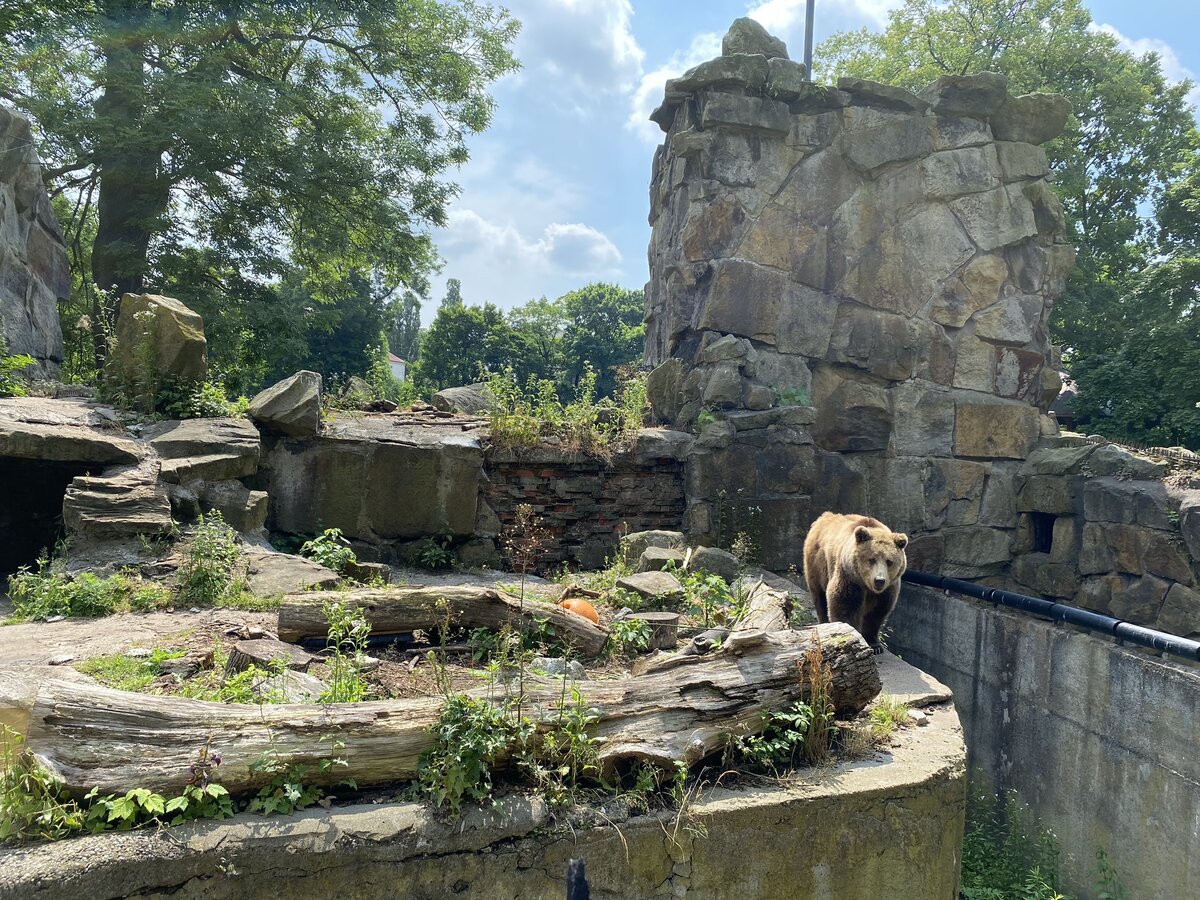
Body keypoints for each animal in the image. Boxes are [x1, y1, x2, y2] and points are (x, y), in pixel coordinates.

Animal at [806, 513, 907, 657]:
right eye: (871, 559)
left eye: (889, 561)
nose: (879, 580)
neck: (867, 586)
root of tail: (825, 516)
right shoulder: (849, 578)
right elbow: (845, 605)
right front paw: (853, 638)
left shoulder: (888, 589)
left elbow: (876, 614)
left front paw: (875, 645)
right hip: (817, 565)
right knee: (820, 598)